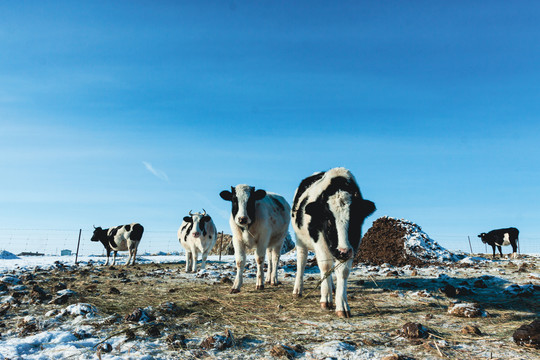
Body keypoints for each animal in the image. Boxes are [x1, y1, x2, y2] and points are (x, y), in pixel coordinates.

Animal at [292, 169, 376, 318]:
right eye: (329, 220)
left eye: (355, 220)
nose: (342, 251)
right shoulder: (319, 239)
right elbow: (325, 267)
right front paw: (325, 300)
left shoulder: (352, 245)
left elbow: (342, 272)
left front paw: (341, 305)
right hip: (300, 240)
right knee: (302, 262)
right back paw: (298, 289)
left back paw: (332, 288)